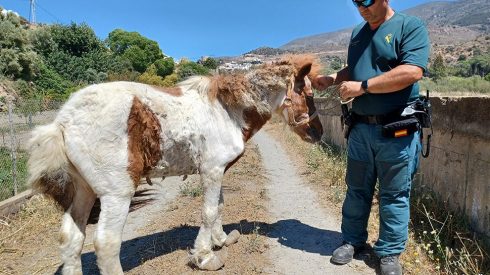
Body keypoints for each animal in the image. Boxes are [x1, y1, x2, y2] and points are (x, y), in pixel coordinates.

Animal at [28, 55, 324, 274]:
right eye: (306, 93)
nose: (318, 133)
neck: (227, 111)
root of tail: (63, 121)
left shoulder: (218, 171)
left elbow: (219, 206)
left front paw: (220, 240)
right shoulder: (212, 171)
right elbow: (208, 212)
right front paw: (205, 257)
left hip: (84, 190)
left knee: (72, 239)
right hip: (116, 193)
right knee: (106, 243)